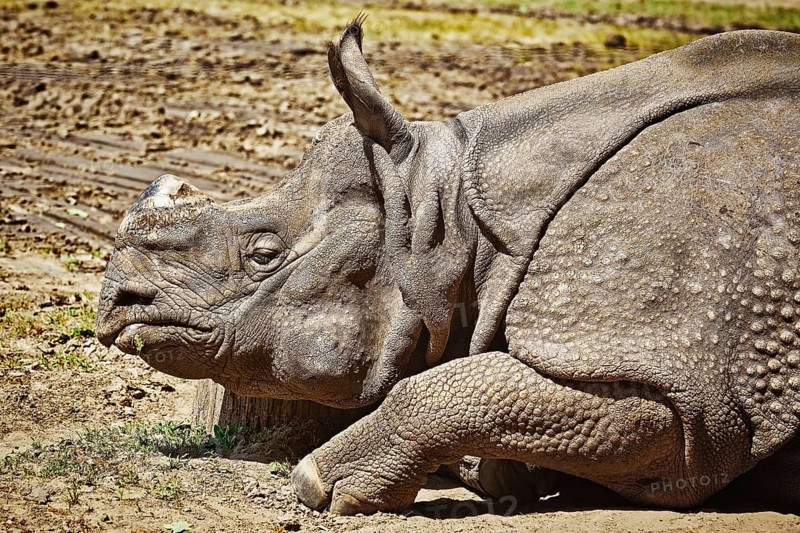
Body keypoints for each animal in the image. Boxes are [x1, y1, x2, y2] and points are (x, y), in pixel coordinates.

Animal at [96, 20, 800, 514]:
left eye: (263, 255)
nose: (116, 305)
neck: (452, 219)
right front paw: (497, 475)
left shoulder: (686, 382)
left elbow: (450, 389)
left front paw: (325, 484)